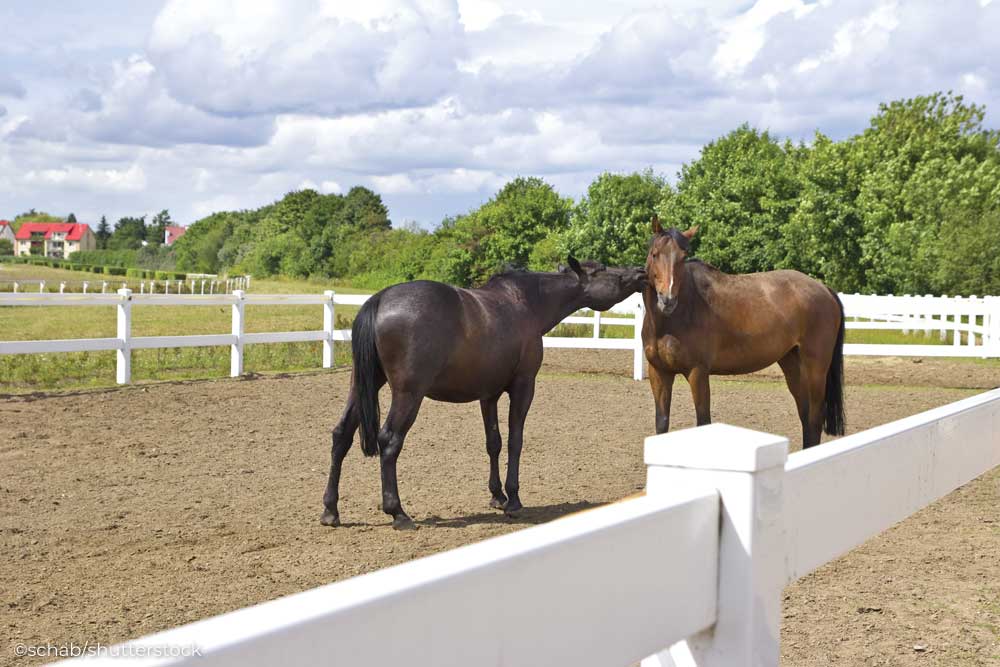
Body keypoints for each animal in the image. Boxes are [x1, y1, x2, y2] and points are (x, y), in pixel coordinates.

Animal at [324, 258, 644, 528]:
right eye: (603, 268)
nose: (640, 272)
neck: (526, 304)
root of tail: (379, 300)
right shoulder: (523, 386)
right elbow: (515, 440)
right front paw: (513, 500)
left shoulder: (488, 394)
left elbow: (494, 442)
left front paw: (497, 496)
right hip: (408, 395)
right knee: (389, 441)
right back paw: (398, 513)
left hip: (361, 386)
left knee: (341, 436)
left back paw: (330, 510)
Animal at [640, 220, 844, 448]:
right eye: (655, 254)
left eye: (683, 257)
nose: (667, 299)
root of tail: (824, 289)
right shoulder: (659, 372)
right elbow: (662, 423)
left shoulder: (697, 372)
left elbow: (703, 421)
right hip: (793, 365)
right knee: (806, 418)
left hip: (816, 370)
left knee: (815, 420)